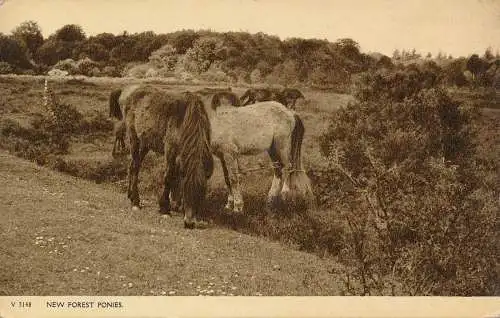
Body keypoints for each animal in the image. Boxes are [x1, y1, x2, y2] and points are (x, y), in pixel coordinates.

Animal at [123, 84, 215, 229]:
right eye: (186, 190)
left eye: (201, 193)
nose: (189, 223)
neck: (185, 119)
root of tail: (135, 92)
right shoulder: (171, 150)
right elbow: (169, 177)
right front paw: (165, 209)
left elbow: (177, 178)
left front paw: (176, 205)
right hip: (134, 140)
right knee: (134, 167)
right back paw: (136, 202)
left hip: (145, 143)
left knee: (134, 166)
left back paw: (131, 196)